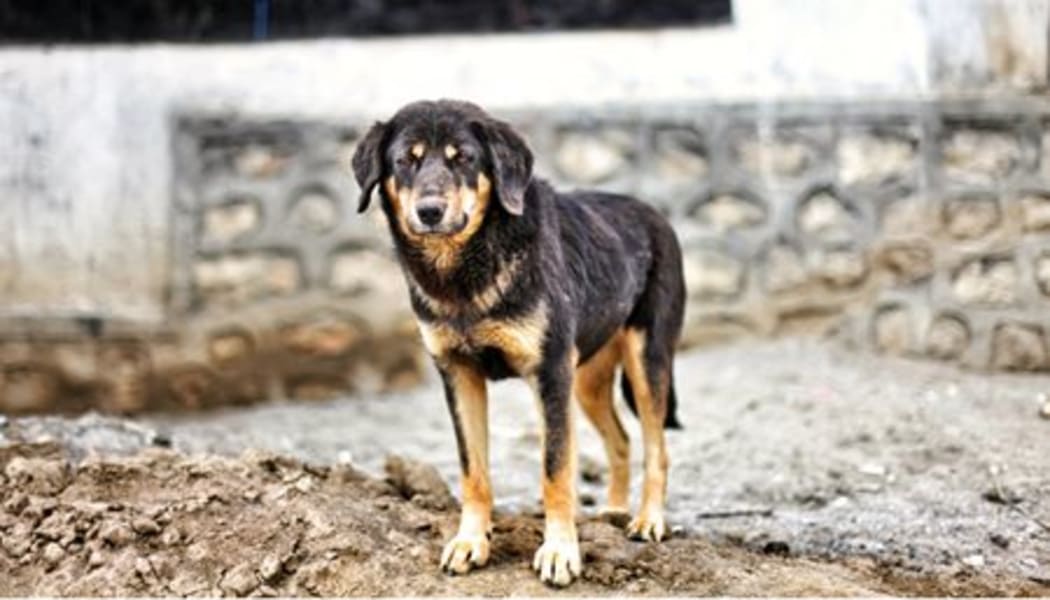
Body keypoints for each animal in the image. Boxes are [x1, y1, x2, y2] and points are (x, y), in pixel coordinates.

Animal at [348, 99, 684, 588]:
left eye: (464, 158)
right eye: (404, 161)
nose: (429, 211)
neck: (464, 273)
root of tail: (654, 214)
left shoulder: (549, 374)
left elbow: (556, 470)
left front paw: (560, 552)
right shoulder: (459, 375)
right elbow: (473, 470)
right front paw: (471, 541)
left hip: (646, 361)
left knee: (656, 447)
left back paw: (648, 520)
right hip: (586, 381)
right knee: (621, 440)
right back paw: (613, 513)